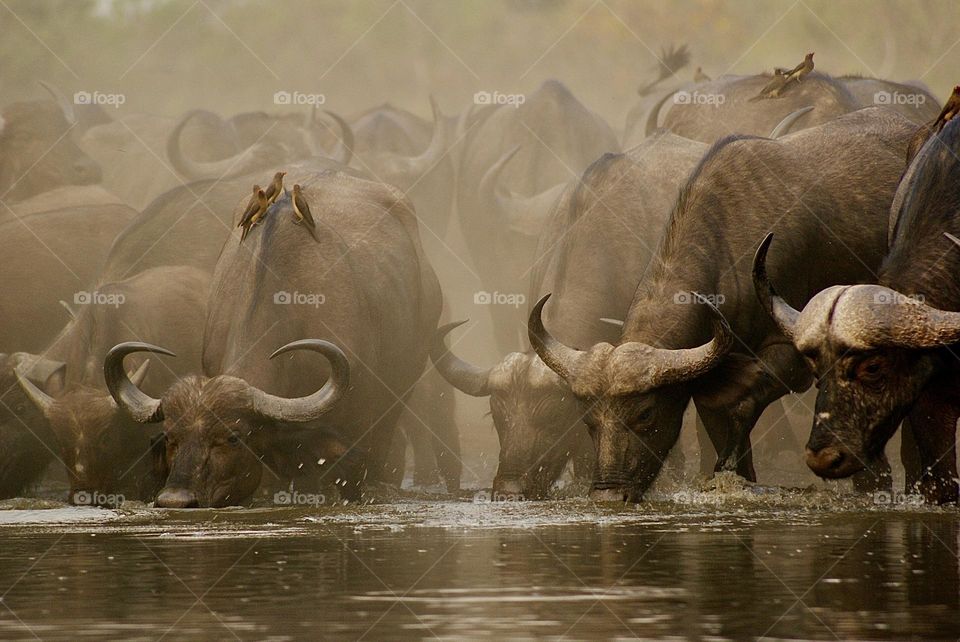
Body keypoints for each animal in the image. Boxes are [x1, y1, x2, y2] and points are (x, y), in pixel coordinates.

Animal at [532, 107, 916, 500]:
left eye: (645, 413)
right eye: (588, 420)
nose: (608, 494)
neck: (728, 248)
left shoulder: (789, 353)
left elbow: (742, 400)